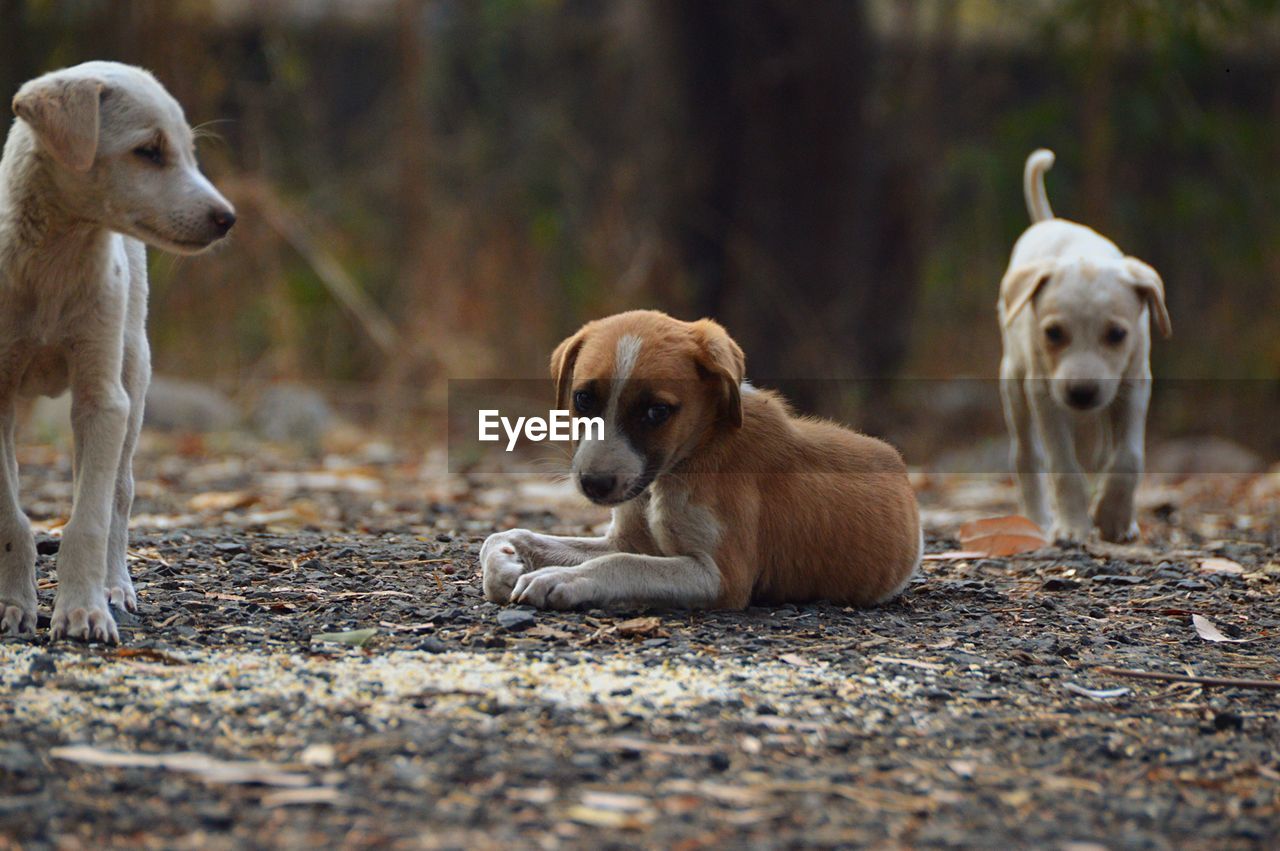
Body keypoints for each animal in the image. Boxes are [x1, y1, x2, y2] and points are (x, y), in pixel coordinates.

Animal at [0, 63, 235, 639]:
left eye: (189, 150)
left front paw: (83, 611)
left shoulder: (103, 400)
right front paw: (14, 605)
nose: (228, 218)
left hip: (133, 375)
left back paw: (114, 588)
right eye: (149, 151)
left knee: (118, 495)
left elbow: (89, 519)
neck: (52, 263)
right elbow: (11, 517)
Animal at [481, 308, 921, 606]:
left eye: (657, 412)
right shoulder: (630, 539)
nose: (594, 484)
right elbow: (504, 536)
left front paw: (561, 579)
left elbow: (623, 564)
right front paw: (504, 564)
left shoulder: (722, 576)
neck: (695, 452)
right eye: (583, 399)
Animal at [998, 148, 1172, 540]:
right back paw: (1037, 521)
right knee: (1025, 455)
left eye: (1117, 335)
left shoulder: (1134, 382)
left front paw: (1113, 518)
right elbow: (1063, 465)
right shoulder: (1043, 393)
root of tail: (1051, 221)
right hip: (1013, 382)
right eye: (1053, 333)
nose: (1081, 394)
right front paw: (1073, 526)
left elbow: (1128, 457)